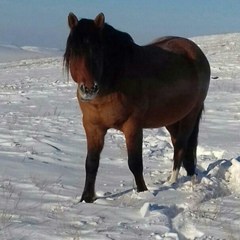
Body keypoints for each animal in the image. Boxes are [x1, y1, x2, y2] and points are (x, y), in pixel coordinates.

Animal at [63, 12, 210, 202]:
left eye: (97, 51)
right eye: (74, 52)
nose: (88, 89)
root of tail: (195, 51)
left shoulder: (132, 125)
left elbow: (134, 163)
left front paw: (143, 193)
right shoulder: (93, 127)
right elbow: (91, 163)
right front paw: (87, 199)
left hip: (190, 114)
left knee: (181, 145)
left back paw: (172, 181)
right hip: (172, 119)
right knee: (179, 144)